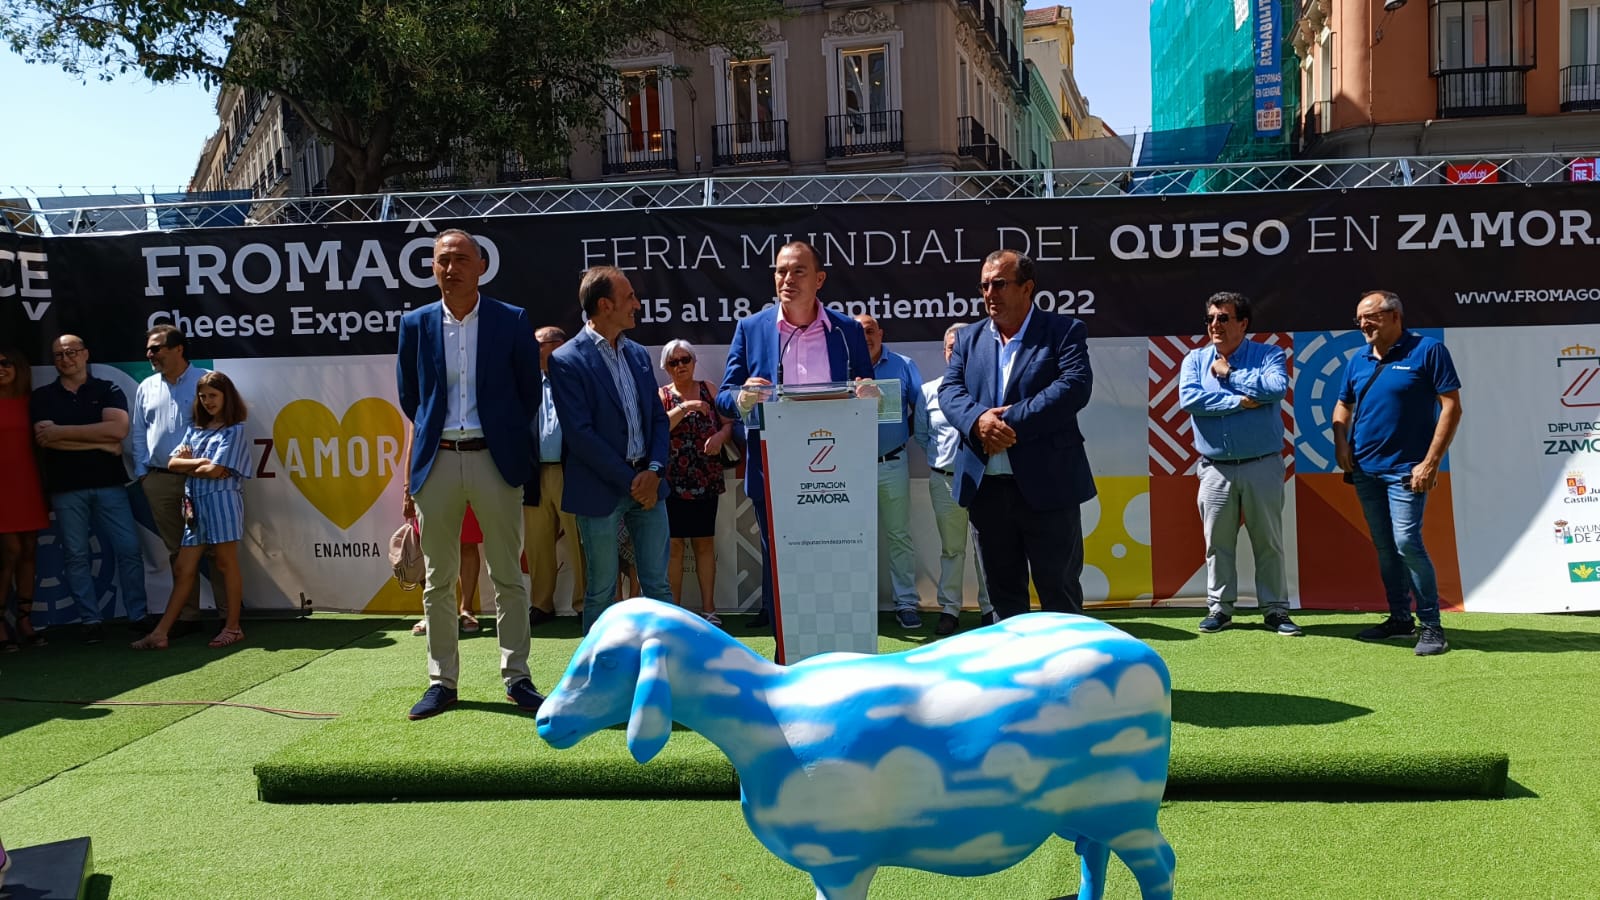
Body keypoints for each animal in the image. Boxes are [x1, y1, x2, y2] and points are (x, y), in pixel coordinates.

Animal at [537, 595, 1177, 896]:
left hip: (1128, 805)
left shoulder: (840, 862)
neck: (766, 711)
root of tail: (1151, 659)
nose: (545, 721)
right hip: (1092, 807)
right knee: (1094, 853)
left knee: (1159, 863)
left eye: (606, 661)